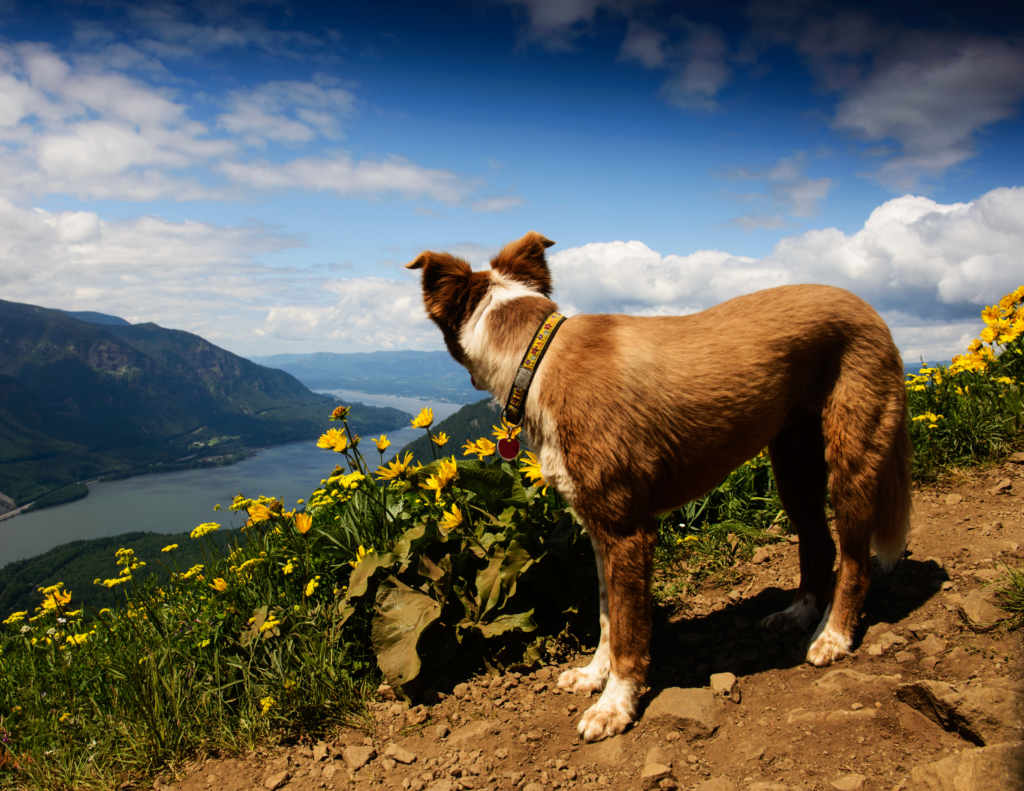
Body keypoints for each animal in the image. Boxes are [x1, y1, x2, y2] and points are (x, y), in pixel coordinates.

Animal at [403, 228, 909, 741]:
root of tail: (868, 308)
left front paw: (614, 705)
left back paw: (833, 636)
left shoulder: (628, 531)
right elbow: (607, 617)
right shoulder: (599, 529)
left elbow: (628, 631)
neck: (537, 357)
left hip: (852, 457)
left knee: (856, 561)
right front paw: (594, 675)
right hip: (793, 464)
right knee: (818, 544)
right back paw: (799, 614)